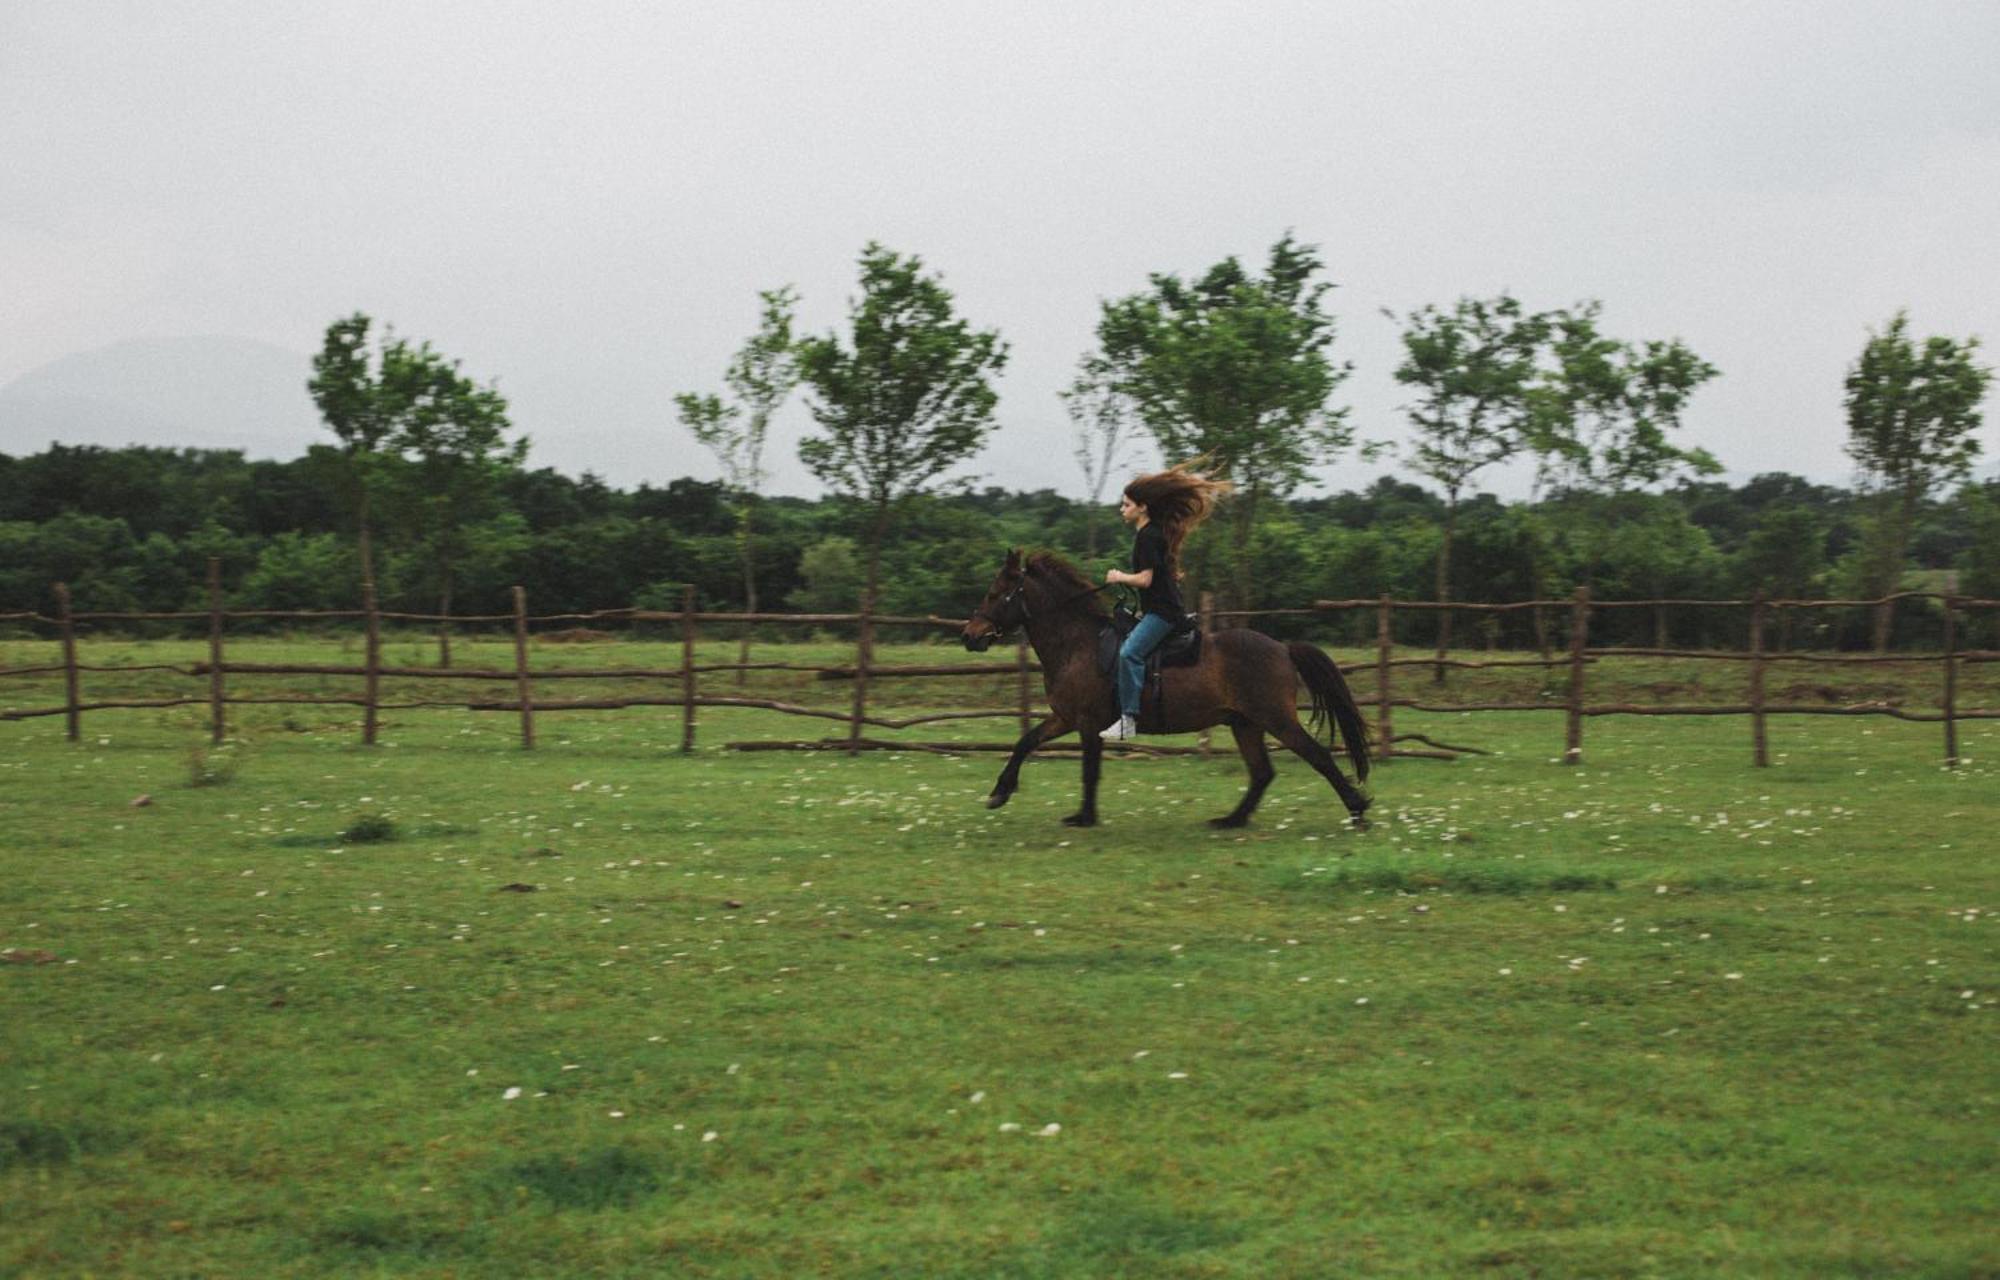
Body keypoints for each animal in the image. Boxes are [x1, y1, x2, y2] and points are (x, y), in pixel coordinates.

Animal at [956, 552, 1376, 832]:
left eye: (995, 593)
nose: (969, 636)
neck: (1078, 644)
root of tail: (1284, 648)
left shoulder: (1088, 723)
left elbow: (1089, 771)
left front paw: (1084, 817)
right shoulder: (1065, 718)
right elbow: (1025, 741)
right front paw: (1000, 792)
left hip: (1276, 719)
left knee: (1317, 756)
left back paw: (1357, 810)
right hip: (1245, 724)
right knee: (1262, 772)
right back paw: (1231, 819)